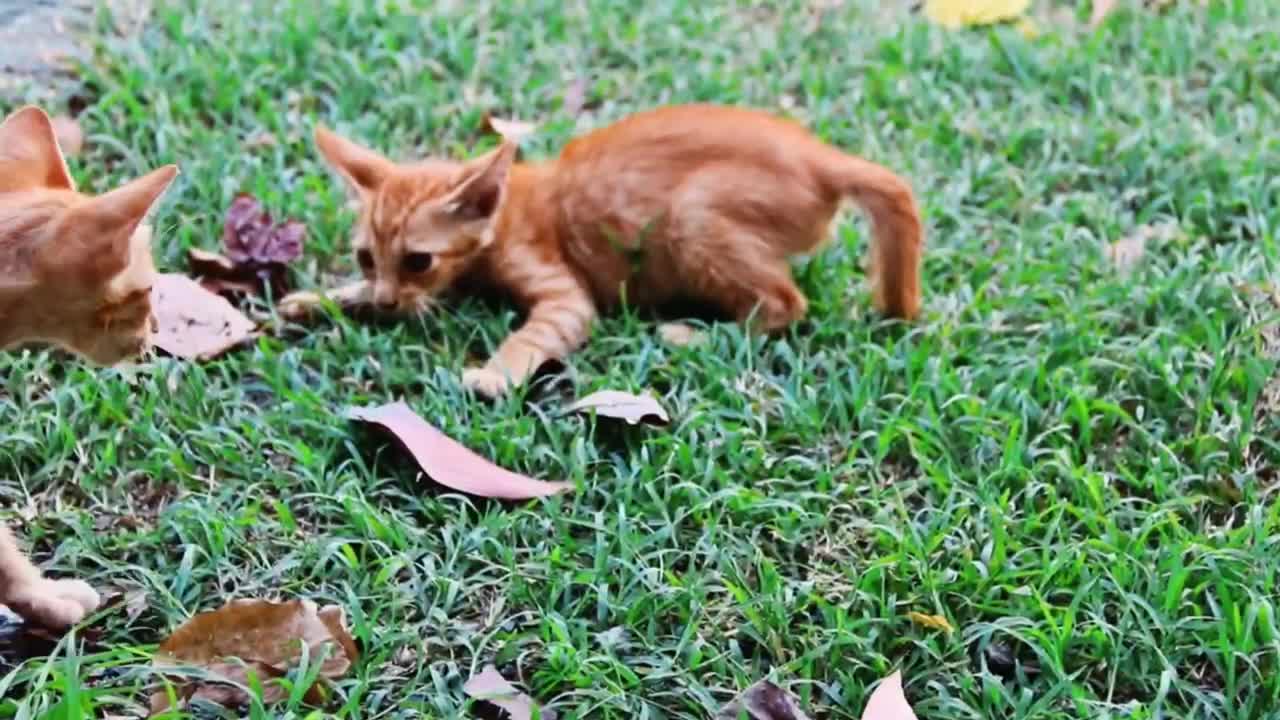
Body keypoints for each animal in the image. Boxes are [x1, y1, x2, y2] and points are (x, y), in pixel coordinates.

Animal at [282, 105, 921, 397]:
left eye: (419, 260)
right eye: (367, 258)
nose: (389, 301)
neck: (509, 208)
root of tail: (818, 157)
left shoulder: (562, 293)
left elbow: (534, 335)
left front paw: (494, 374)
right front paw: (319, 299)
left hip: (690, 218)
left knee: (785, 304)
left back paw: (690, 333)